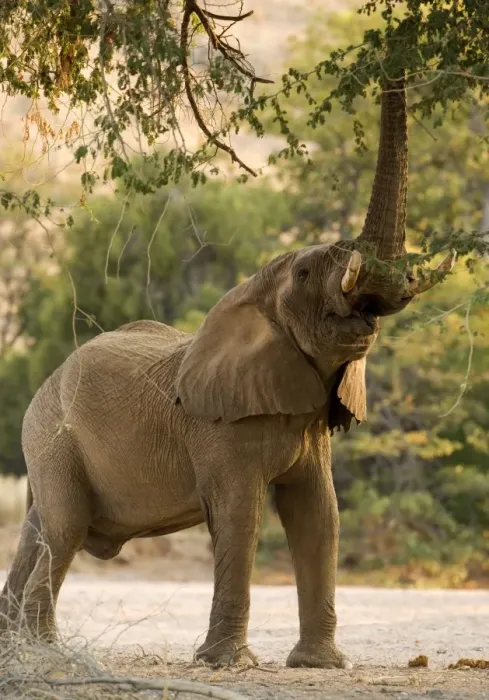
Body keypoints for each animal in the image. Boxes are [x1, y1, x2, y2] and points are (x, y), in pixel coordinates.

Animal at [0, 77, 455, 668]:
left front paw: (318, 665)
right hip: (53, 438)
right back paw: (43, 651)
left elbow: (319, 514)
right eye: (305, 273)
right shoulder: (217, 429)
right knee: (64, 527)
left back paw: (16, 642)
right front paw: (227, 663)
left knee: (38, 529)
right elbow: (242, 514)